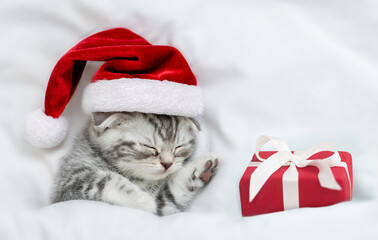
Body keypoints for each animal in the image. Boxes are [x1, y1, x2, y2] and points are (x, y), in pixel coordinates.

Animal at [52, 112, 219, 216]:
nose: (167, 163)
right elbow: (105, 179)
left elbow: (170, 193)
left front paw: (200, 170)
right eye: (150, 147)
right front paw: (144, 201)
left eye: (178, 147)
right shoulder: (67, 186)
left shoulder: (165, 205)